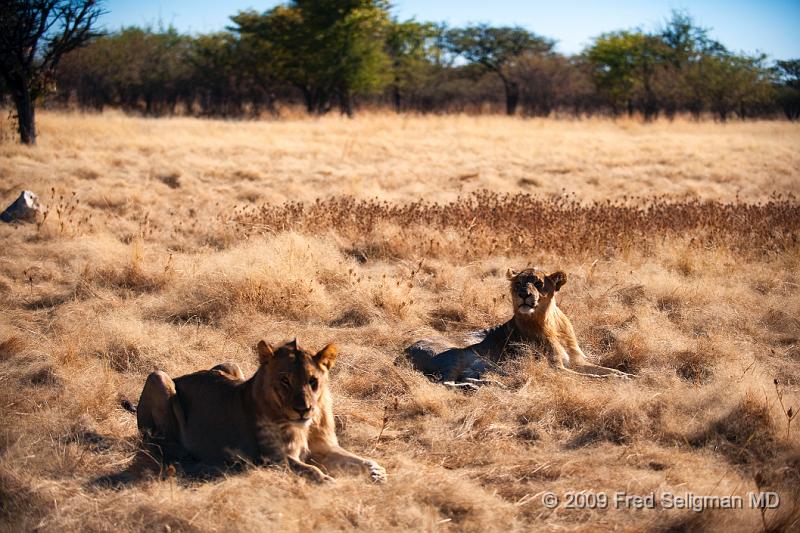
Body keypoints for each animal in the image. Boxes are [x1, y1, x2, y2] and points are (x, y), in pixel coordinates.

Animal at [136, 340, 386, 482]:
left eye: (313, 381)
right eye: (285, 381)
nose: (303, 410)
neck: (305, 426)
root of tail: (182, 376)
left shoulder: (324, 446)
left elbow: (354, 458)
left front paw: (375, 471)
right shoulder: (272, 458)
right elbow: (309, 470)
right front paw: (327, 481)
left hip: (229, 365)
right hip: (158, 377)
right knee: (155, 441)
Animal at [406, 268, 632, 384]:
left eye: (538, 283)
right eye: (517, 284)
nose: (524, 294)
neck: (550, 323)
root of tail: (405, 350)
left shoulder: (577, 361)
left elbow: (602, 369)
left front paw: (627, 375)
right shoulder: (555, 368)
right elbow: (593, 378)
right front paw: (617, 379)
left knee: (462, 379)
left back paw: (486, 383)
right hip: (454, 355)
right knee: (446, 383)